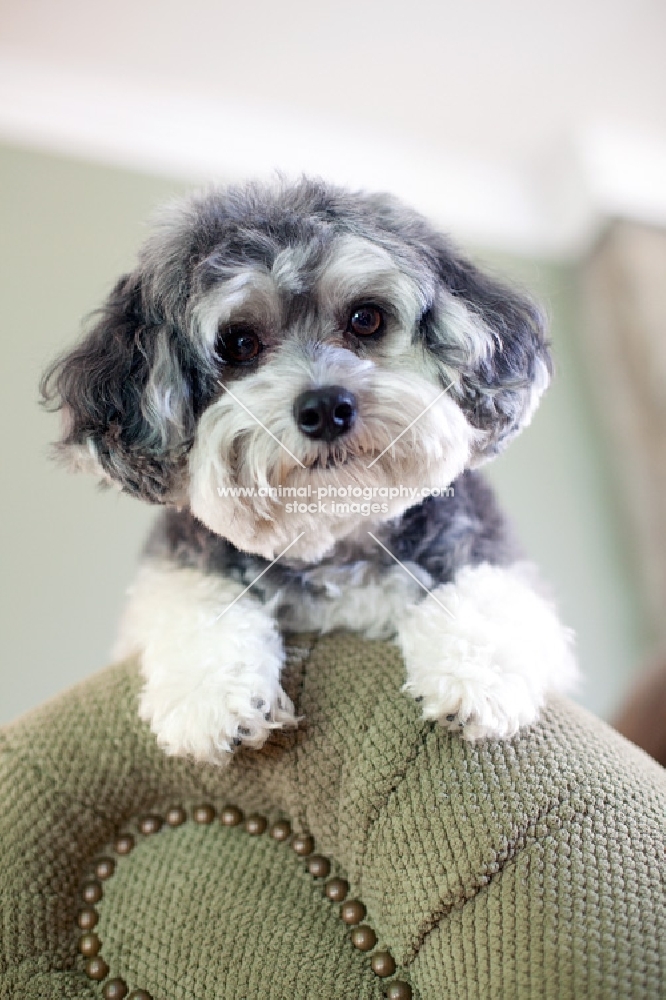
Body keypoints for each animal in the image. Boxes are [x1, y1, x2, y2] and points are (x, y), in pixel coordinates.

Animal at [40, 176, 576, 760]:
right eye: (238, 343)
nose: (326, 407)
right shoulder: (176, 569)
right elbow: (193, 599)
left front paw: (478, 674)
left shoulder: (485, 551)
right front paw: (213, 693)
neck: (334, 537)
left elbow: (485, 591)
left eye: (366, 317)